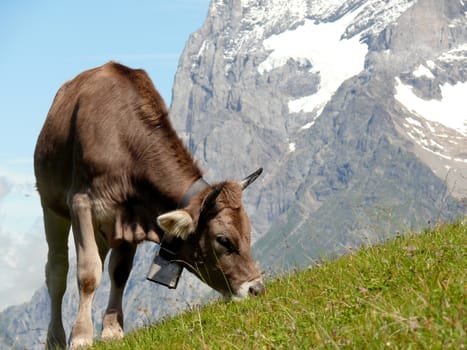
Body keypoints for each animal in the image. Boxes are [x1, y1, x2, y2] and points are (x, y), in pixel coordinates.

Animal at [34, 61, 266, 348]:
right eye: (223, 240)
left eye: (248, 233)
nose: (256, 289)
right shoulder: (81, 203)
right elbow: (88, 273)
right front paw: (81, 337)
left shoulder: (128, 217)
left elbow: (119, 272)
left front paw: (112, 330)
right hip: (51, 206)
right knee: (57, 271)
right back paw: (55, 338)